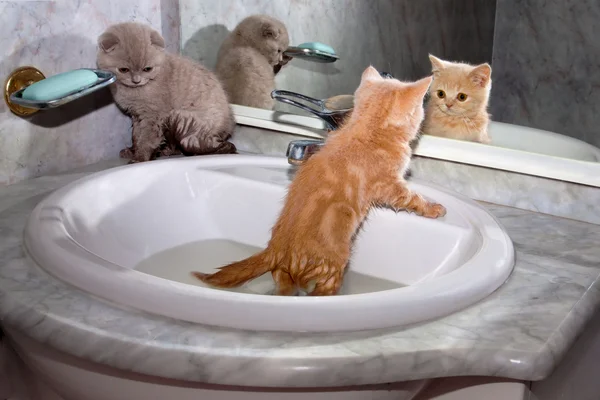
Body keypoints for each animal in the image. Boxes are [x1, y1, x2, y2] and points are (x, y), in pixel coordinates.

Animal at [97, 21, 236, 162]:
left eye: (147, 69)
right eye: (124, 70)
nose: (136, 80)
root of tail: (229, 126)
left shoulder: (153, 115)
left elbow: (146, 139)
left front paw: (140, 158)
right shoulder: (136, 115)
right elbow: (135, 135)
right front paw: (132, 151)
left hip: (180, 120)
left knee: (209, 146)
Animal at [192, 66, 446, 296]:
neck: (365, 132)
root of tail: (275, 249)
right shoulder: (390, 185)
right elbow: (412, 198)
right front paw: (434, 208)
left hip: (284, 275)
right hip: (335, 263)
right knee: (322, 290)